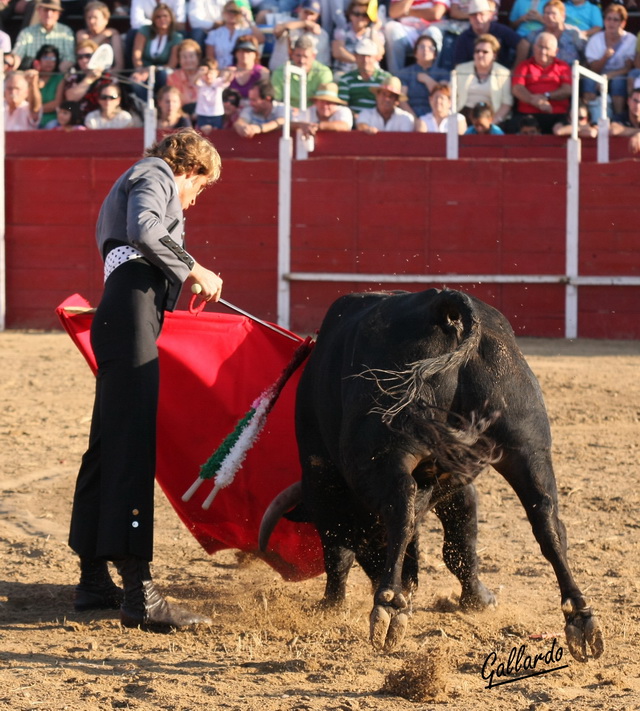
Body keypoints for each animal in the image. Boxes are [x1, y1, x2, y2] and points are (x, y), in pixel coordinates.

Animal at [260, 288, 604, 660]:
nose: (409, 583)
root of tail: (443, 304)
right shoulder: (454, 480)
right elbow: (460, 540)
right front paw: (478, 600)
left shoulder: (323, 479)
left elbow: (339, 550)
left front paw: (330, 606)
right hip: (528, 443)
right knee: (547, 520)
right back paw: (580, 617)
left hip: (385, 452)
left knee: (400, 508)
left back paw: (389, 605)